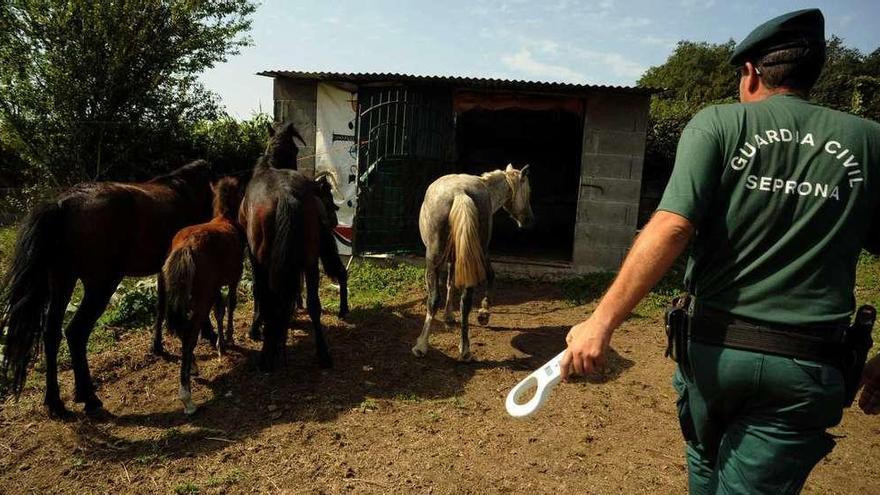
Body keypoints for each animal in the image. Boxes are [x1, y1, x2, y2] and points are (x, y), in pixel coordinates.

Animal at [0, 161, 213, 416]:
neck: (184, 190)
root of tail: (63, 204)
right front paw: (206, 336)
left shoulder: (164, 268)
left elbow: (161, 306)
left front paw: (158, 347)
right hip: (100, 286)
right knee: (76, 332)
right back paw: (89, 398)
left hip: (63, 281)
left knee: (51, 333)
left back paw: (56, 402)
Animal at [162, 176, 242, 416]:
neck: (225, 218)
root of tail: (186, 246)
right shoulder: (233, 279)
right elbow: (229, 305)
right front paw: (227, 340)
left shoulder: (215, 288)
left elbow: (219, 310)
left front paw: (221, 344)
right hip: (200, 300)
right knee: (189, 334)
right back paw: (187, 398)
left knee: (183, 331)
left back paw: (193, 367)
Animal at [242, 124, 348, 372]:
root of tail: (286, 196)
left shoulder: (253, 257)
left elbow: (258, 292)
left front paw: (255, 329)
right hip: (309, 259)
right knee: (313, 304)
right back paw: (323, 354)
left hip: (266, 259)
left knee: (269, 297)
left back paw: (266, 354)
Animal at [414, 165, 532, 362]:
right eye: (528, 192)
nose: (529, 220)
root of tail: (460, 193)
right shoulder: (460, 258)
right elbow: (457, 283)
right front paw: (472, 314)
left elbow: (451, 284)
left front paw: (477, 314)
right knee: (466, 301)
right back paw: (465, 350)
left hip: (435, 260)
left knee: (434, 299)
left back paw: (422, 346)